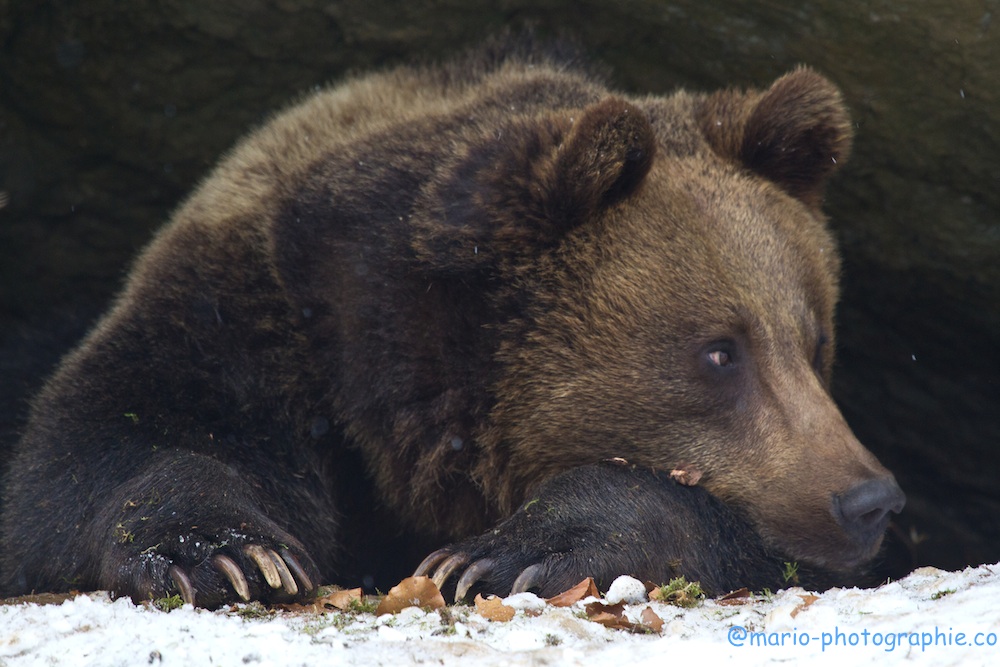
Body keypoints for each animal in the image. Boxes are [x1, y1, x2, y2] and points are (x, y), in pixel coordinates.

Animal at [0, 39, 908, 608]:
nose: (868, 497)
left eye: (815, 340)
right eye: (720, 352)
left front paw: (509, 550)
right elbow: (93, 455)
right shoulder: (238, 319)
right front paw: (228, 550)